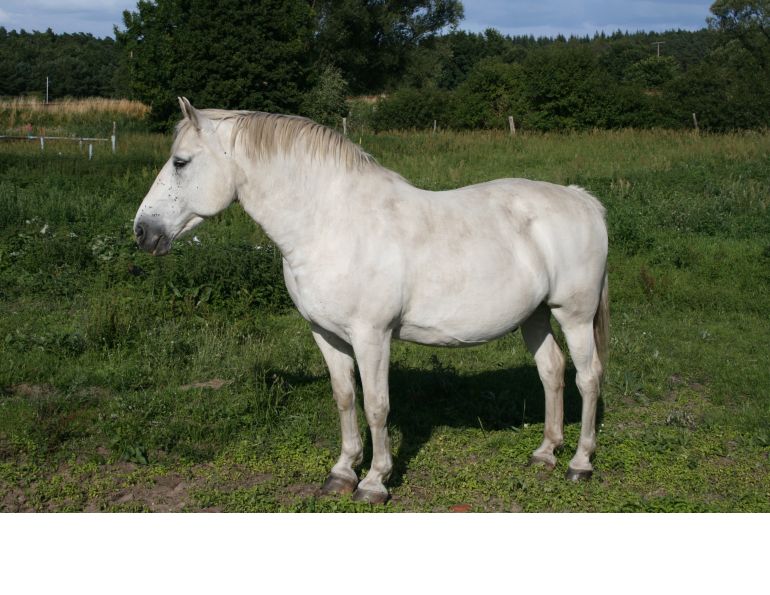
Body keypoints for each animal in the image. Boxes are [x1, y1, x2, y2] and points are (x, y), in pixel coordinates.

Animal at [134, 98, 609, 504]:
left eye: (180, 162)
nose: (143, 231)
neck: (331, 223)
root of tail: (582, 199)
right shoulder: (326, 334)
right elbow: (345, 397)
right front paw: (343, 471)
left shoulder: (372, 335)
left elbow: (377, 405)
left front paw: (375, 481)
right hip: (536, 317)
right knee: (552, 371)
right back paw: (545, 453)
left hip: (574, 316)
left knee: (588, 378)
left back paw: (580, 463)